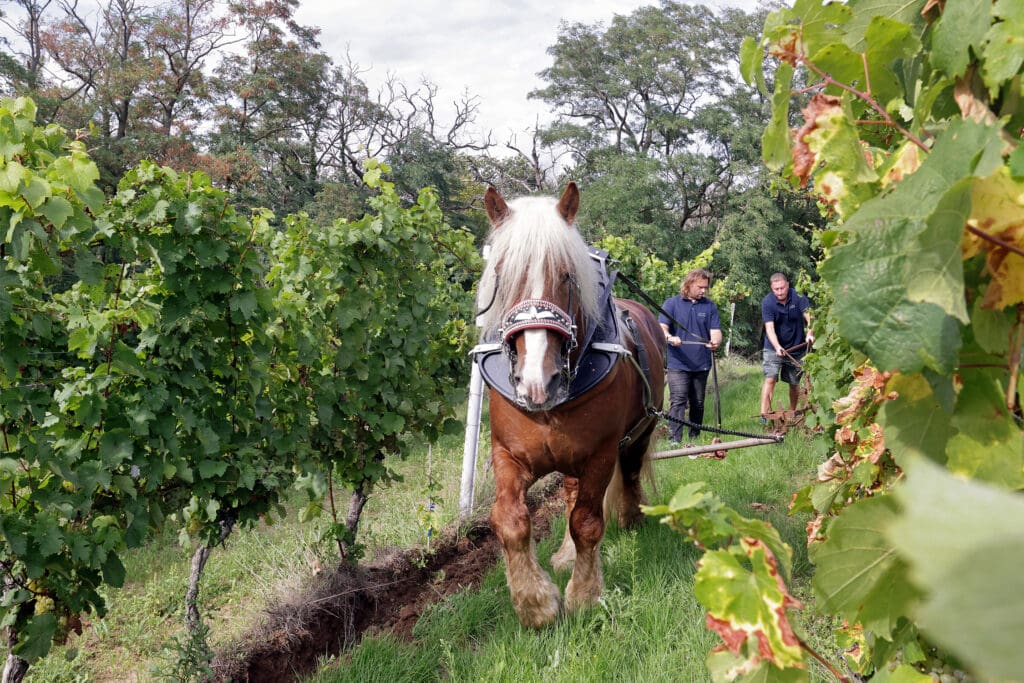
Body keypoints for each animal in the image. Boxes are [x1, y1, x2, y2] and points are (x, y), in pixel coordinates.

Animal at [471, 183, 663, 630]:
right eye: (502, 274)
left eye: (567, 275)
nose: (537, 382)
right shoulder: (507, 453)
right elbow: (510, 520)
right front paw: (536, 603)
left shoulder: (600, 454)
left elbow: (588, 522)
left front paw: (585, 597)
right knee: (573, 495)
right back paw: (565, 555)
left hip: (639, 432)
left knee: (628, 474)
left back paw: (631, 516)